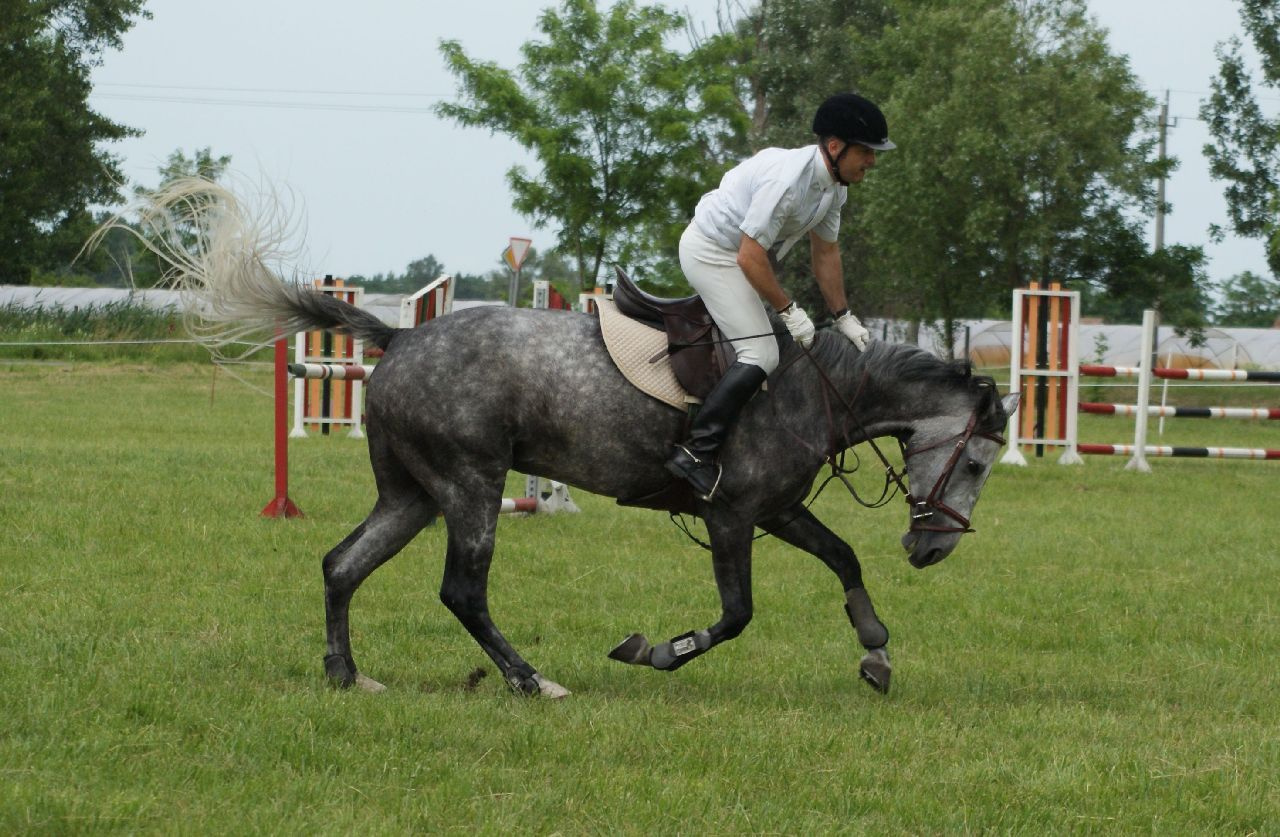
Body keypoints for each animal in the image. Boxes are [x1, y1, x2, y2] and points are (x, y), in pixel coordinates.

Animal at [99, 181, 1013, 701]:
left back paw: (349, 675)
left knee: (341, 565)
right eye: (973, 459)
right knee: (461, 591)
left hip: (413, 494)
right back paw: (532, 681)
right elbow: (736, 614)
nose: (931, 551)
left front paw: (876, 656)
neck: (814, 386)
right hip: (470, 484)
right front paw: (655, 650)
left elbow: (845, 561)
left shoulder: (776, 509)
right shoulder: (730, 516)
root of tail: (402, 337)